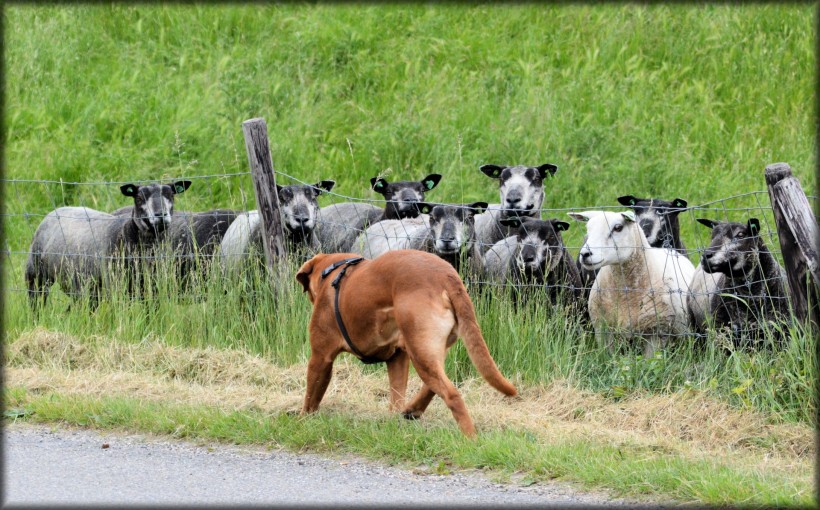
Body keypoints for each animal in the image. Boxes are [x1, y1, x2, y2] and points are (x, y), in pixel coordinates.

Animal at [24, 181, 192, 310]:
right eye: (138, 198)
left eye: (171, 195)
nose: (160, 215)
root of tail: (56, 211)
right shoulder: (117, 287)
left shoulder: (154, 287)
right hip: (36, 275)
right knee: (36, 303)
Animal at [296, 249, 520, 436]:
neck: (333, 270)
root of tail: (447, 276)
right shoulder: (397, 358)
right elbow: (396, 397)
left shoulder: (321, 357)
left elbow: (312, 395)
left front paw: (302, 419)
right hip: (428, 350)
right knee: (432, 386)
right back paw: (413, 410)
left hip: (420, 352)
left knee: (452, 394)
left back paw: (470, 438)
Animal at [572, 209, 700, 356]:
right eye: (588, 228)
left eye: (618, 228)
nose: (585, 254)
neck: (624, 292)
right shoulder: (603, 329)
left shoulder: (656, 332)